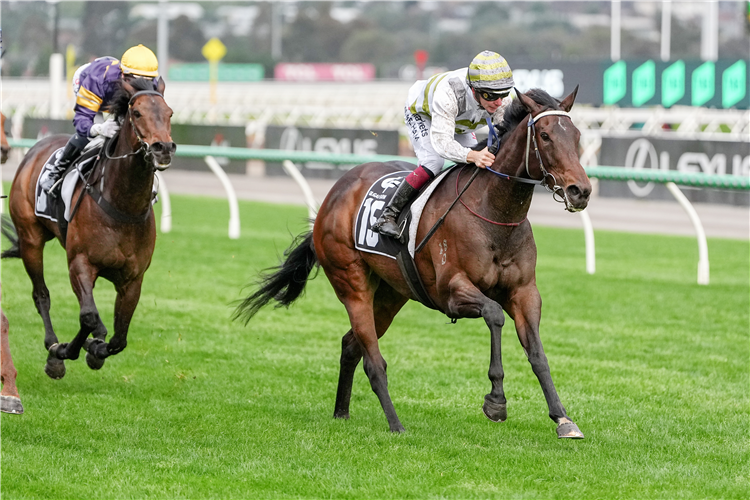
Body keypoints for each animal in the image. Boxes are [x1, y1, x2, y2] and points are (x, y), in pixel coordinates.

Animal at [1, 78, 175, 380]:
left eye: (169, 113)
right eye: (137, 113)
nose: (162, 148)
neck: (122, 205)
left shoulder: (133, 279)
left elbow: (119, 337)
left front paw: (96, 348)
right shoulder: (80, 263)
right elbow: (88, 316)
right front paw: (64, 352)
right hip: (30, 239)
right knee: (41, 295)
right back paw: (53, 346)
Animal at [235, 87, 592, 439]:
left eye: (576, 135)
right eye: (545, 135)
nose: (581, 191)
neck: (494, 213)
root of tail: (335, 193)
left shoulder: (524, 292)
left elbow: (537, 354)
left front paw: (563, 418)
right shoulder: (451, 291)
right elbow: (494, 314)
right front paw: (496, 400)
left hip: (391, 294)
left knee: (351, 345)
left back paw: (341, 413)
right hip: (351, 282)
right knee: (373, 361)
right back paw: (395, 425)